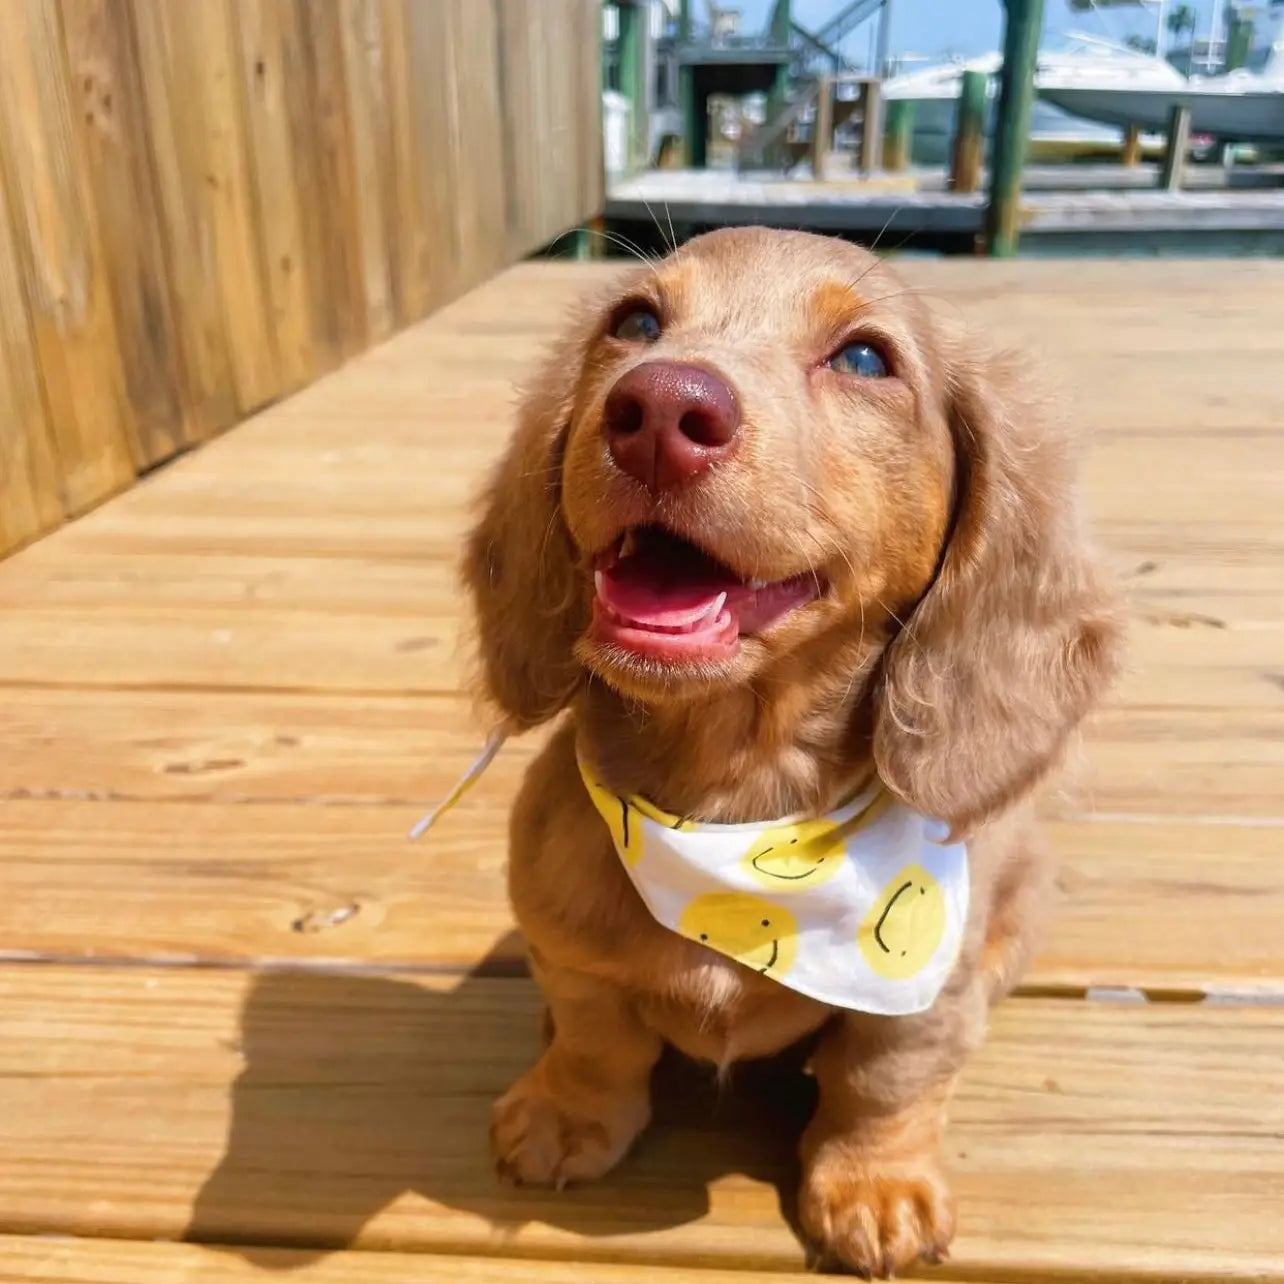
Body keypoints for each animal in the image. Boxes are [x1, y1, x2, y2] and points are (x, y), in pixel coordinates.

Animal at [464, 228, 1124, 1273]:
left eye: (865, 359)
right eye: (635, 321)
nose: (658, 409)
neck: (736, 807)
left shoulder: (922, 1006)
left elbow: (882, 1084)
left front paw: (875, 1187)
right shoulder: (567, 950)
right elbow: (595, 1037)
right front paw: (566, 1115)